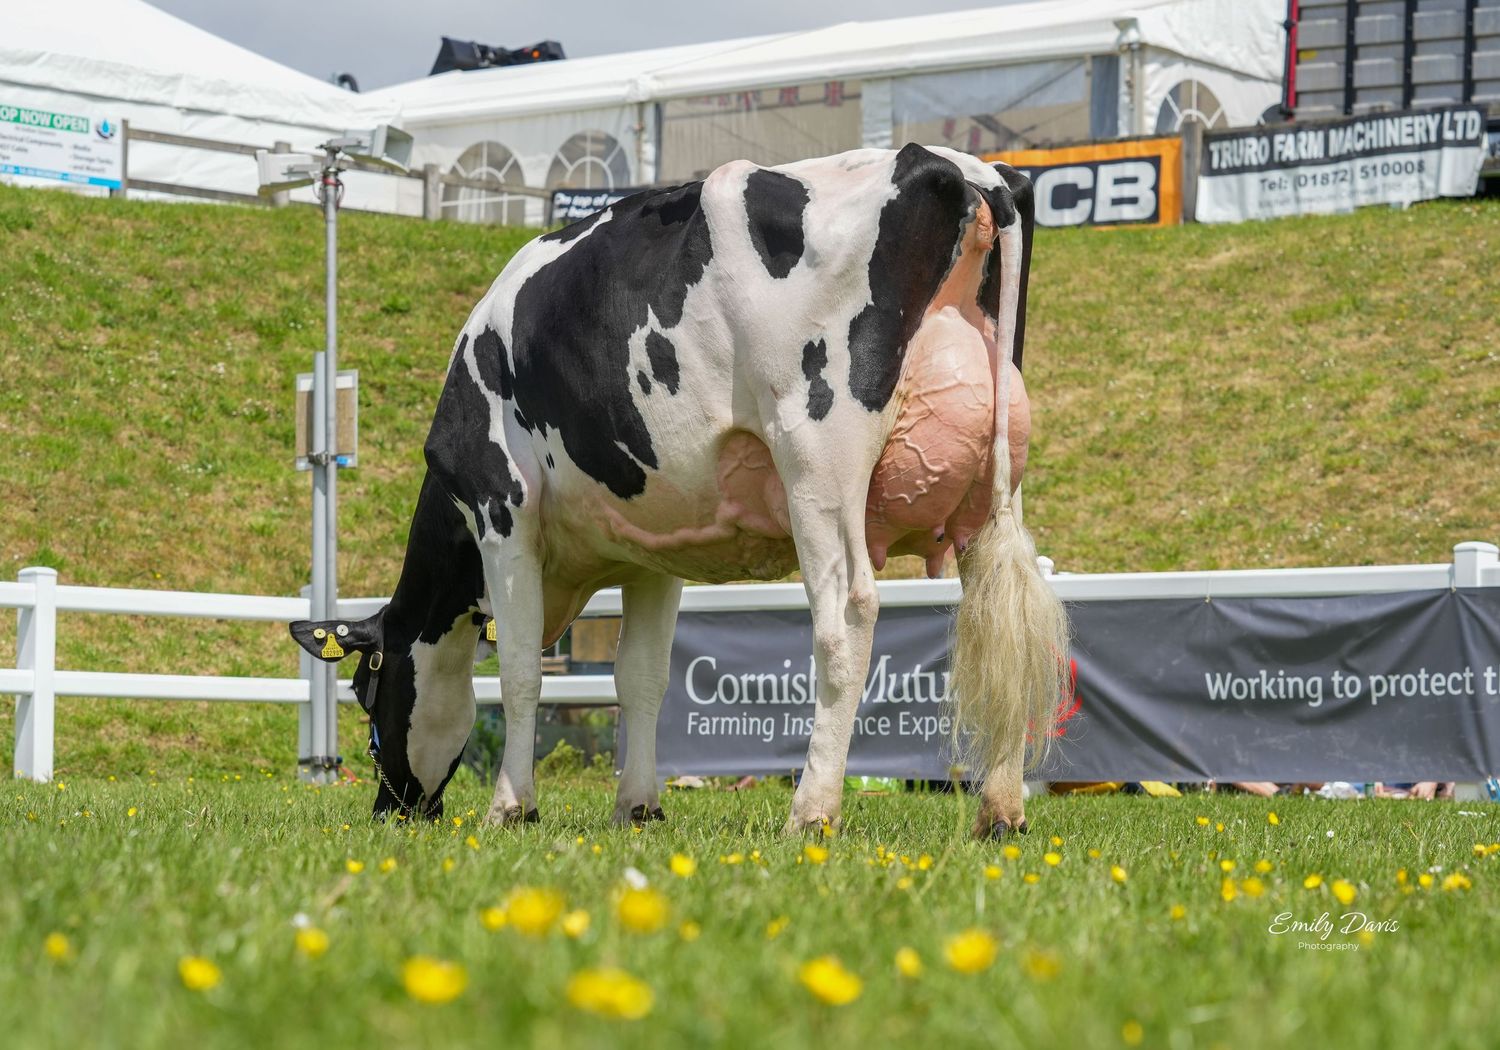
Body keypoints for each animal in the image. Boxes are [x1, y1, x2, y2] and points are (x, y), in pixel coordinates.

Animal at [289, 143, 1068, 838]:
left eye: (365, 691)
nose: (392, 810)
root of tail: (956, 167)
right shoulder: (654, 548)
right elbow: (641, 678)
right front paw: (638, 806)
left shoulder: (502, 511)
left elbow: (518, 672)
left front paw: (512, 806)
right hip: (997, 482)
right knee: (1003, 618)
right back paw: (1001, 812)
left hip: (817, 460)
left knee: (847, 616)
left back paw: (812, 811)